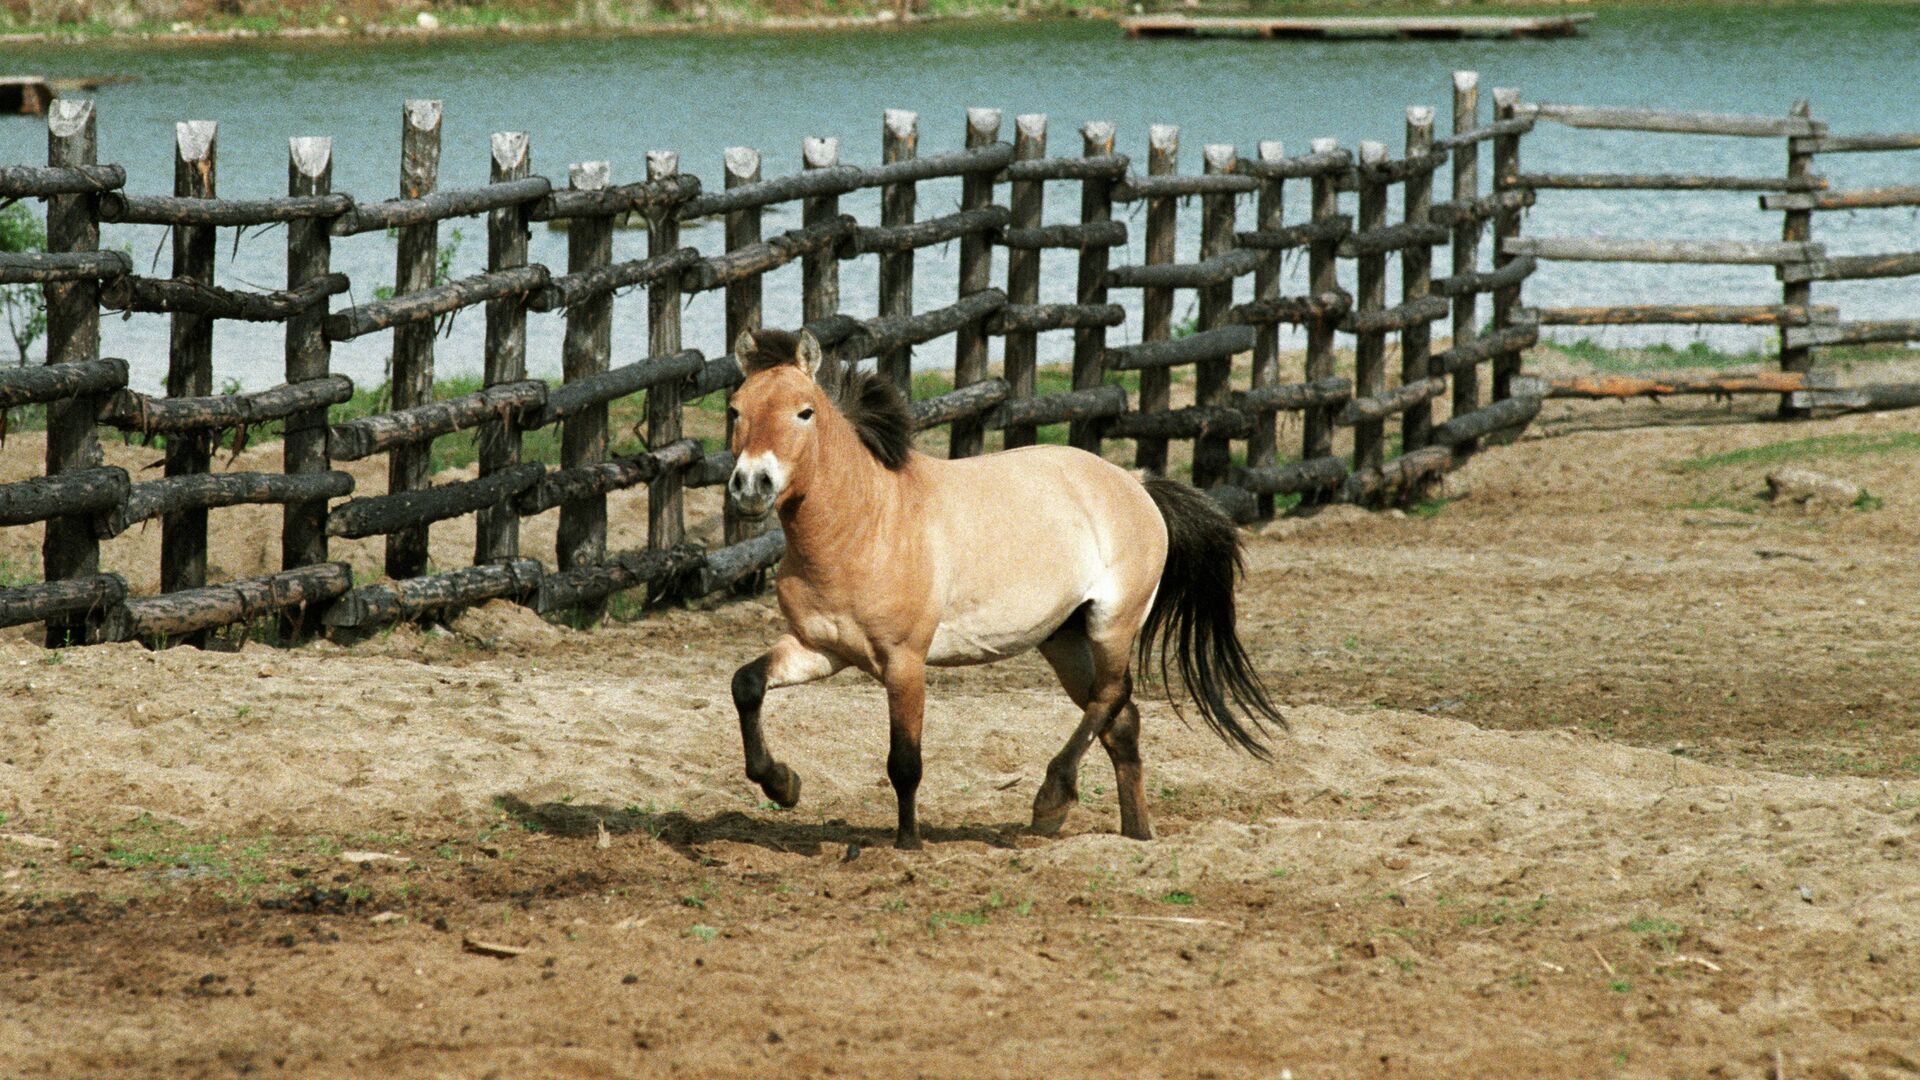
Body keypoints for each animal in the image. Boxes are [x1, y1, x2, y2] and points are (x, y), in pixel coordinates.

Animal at [722, 327, 1283, 850]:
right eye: (735, 410)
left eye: (805, 412)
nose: (751, 485)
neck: (865, 524)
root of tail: (1136, 484)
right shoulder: (822, 648)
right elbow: (746, 684)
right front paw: (782, 784)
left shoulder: (904, 661)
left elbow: (905, 761)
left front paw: (908, 843)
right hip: (1064, 639)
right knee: (1121, 722)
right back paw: (1135, 835)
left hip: (1112, 625)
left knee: (1111, 696)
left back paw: (1052, 800)